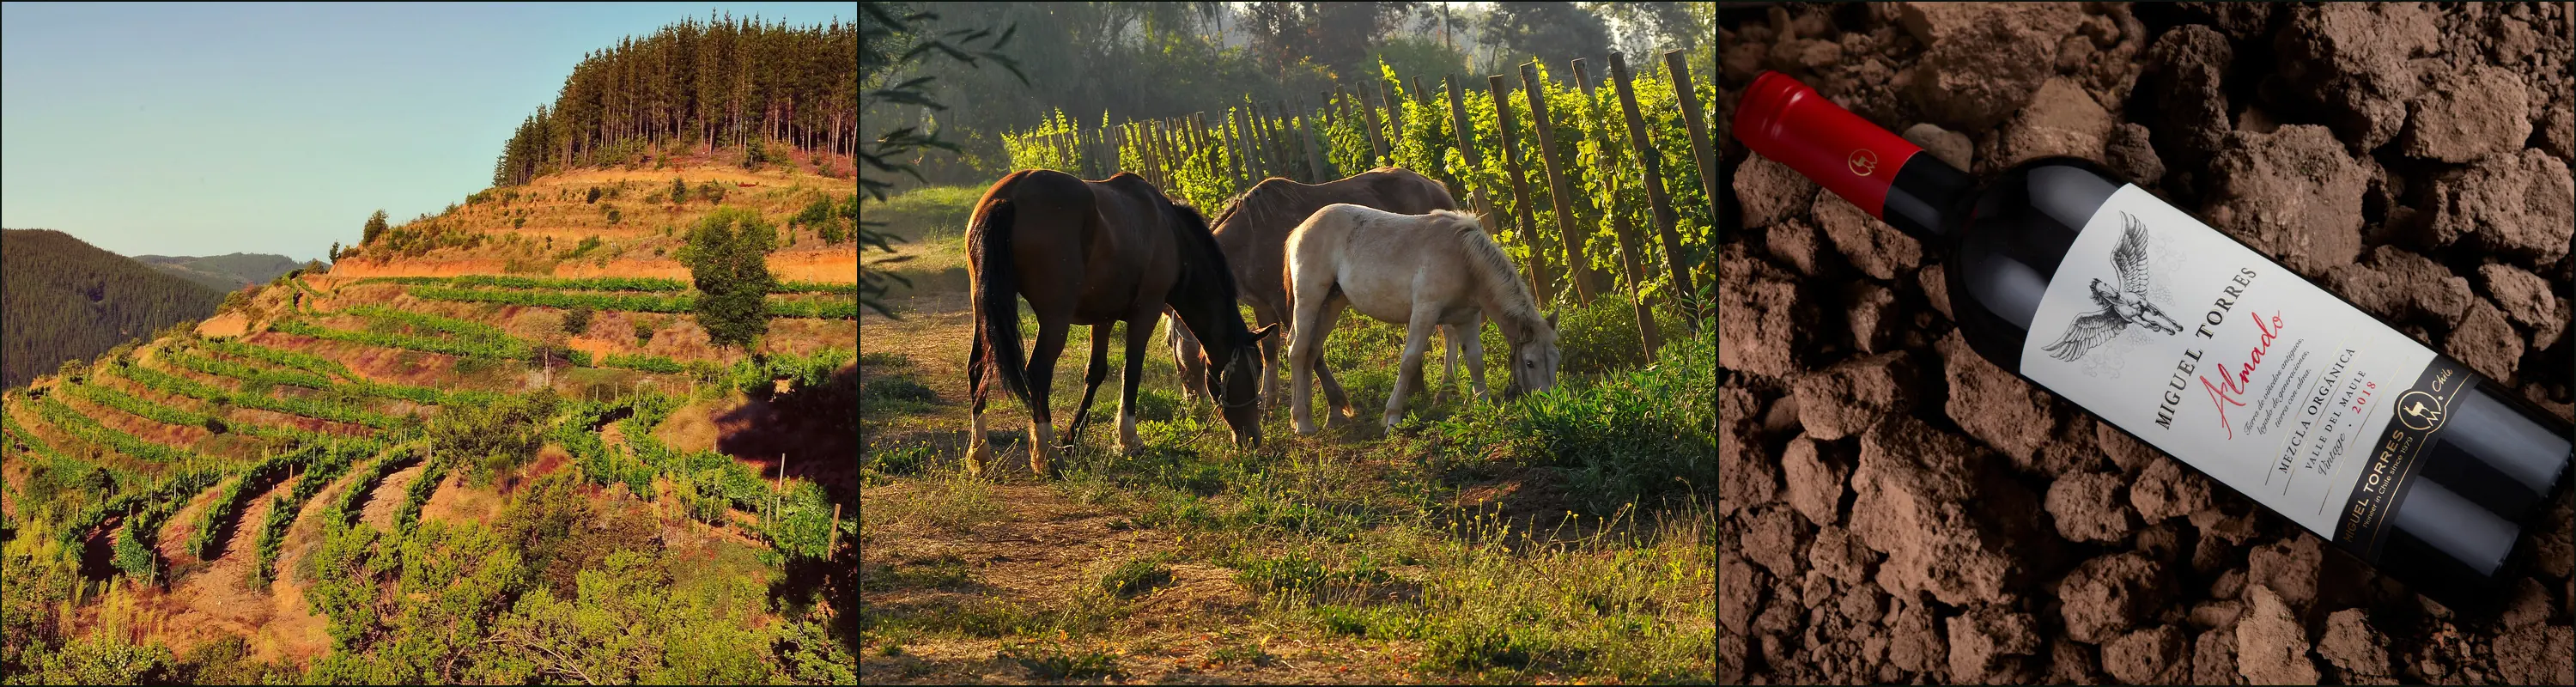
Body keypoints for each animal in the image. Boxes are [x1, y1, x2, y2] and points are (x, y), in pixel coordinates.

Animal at [964, 169, 1278, 478]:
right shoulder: (1145, 313)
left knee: (978, 368)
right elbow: (1133, 371)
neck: (1172, 234)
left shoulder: (1103, 318)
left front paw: (1073, 439)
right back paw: (1047, 456)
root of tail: (1009, 197)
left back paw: (980, 455)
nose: (1253, 437)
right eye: (1254, 369)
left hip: (984, 309)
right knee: (1038, 373)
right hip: (1055, 320)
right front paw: (1128, 440)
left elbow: (1095, 373)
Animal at [1164, 168, 1461, 419]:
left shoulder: (1287, 303)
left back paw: (1443, 392)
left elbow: (1309, 351)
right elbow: (1270, 349)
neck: (1249, 241)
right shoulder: (1263, 307)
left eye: (1170, 344)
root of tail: (1436, 186)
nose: (1191, 400)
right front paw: (1268, 400)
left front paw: (1335, 405)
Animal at [1283, 204, 1562, 435]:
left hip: (1332, 304)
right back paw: (1302, 422)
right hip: (1310, 300)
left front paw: (1484, 406)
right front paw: (1392, 417)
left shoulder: (1467, 318)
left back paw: (1307, 415)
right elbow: (1410, 360)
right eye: (1530, 363)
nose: (1550, 403)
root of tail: (1301, 228)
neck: (1463, 258)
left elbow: (1475, 360)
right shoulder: (1425, 311)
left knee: (1311, 350)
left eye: (1556, 359)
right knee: (1298, 349)